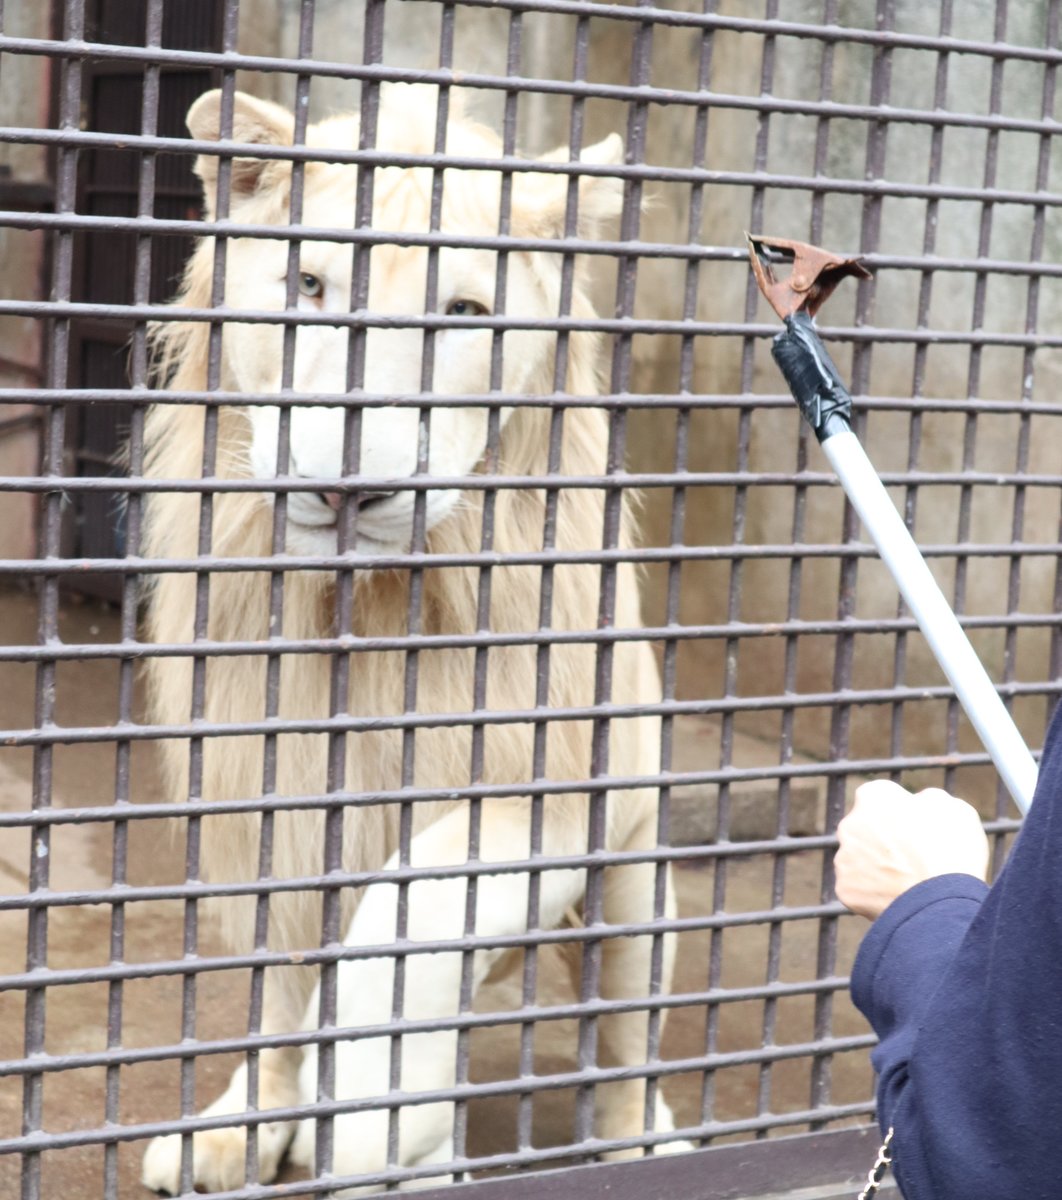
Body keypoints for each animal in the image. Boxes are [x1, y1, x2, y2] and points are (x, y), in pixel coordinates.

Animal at [141, 82, 681, 1190]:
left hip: (639, 893)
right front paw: (284, 1121)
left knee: (623, 1047)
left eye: (464, 315)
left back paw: (644, 1143)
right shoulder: (264, 794)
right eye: (307, 284)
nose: (349, 487)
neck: (374, 606)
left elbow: (412, 905)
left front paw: (379, 1126)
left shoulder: (561, 785)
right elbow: (290, 989)